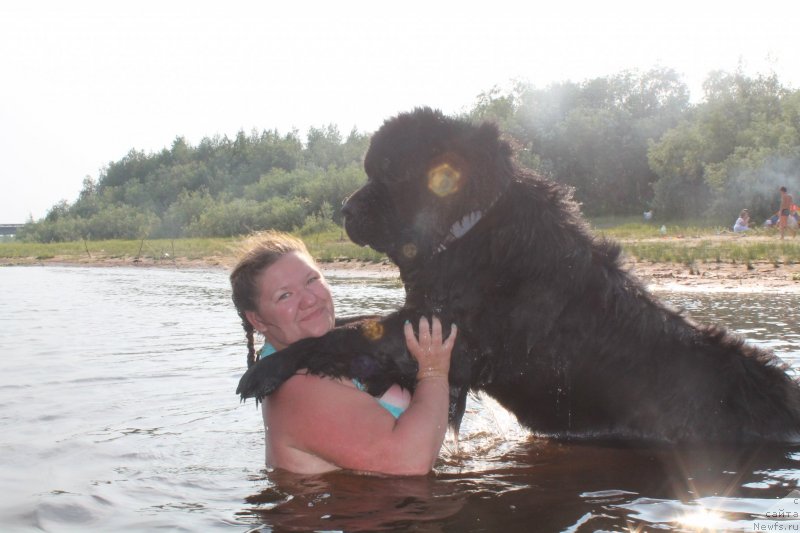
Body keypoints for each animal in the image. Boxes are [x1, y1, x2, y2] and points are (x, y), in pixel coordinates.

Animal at [238, 106, 800, 442]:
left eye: (390, 172)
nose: (344, 209)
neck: (467, 231)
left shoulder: (452, 338)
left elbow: (346, 336)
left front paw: (266, 369)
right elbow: (353, 324)